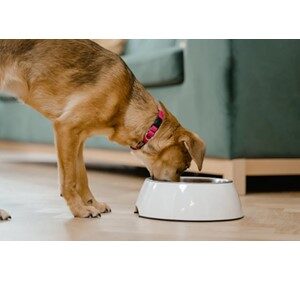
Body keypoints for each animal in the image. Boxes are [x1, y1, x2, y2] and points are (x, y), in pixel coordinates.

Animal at [0, 38, 205, 219]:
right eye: (183, 167)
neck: (126, 102)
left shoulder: (78, 139)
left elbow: (82, 177)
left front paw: (92, 203)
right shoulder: (66, 128)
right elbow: (69, 180)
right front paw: (80, 210)